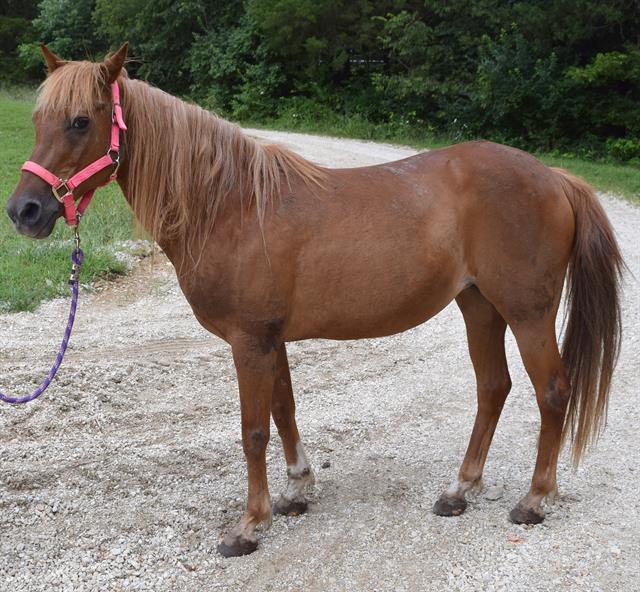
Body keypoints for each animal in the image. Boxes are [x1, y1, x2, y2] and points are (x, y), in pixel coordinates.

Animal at [5, 45, 624, 556]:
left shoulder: (249, 341)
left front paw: (249, 526)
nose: (24, 211)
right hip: (479, 307)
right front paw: (296, 491)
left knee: (552, 392)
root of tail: (554, 177)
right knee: (493, 388)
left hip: (527, 313)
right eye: (37, 120)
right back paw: (459, 490)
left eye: (80, 121)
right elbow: (284, 410)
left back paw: (534, 500)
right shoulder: (268, 338)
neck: (229, 205)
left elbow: (253, 430)